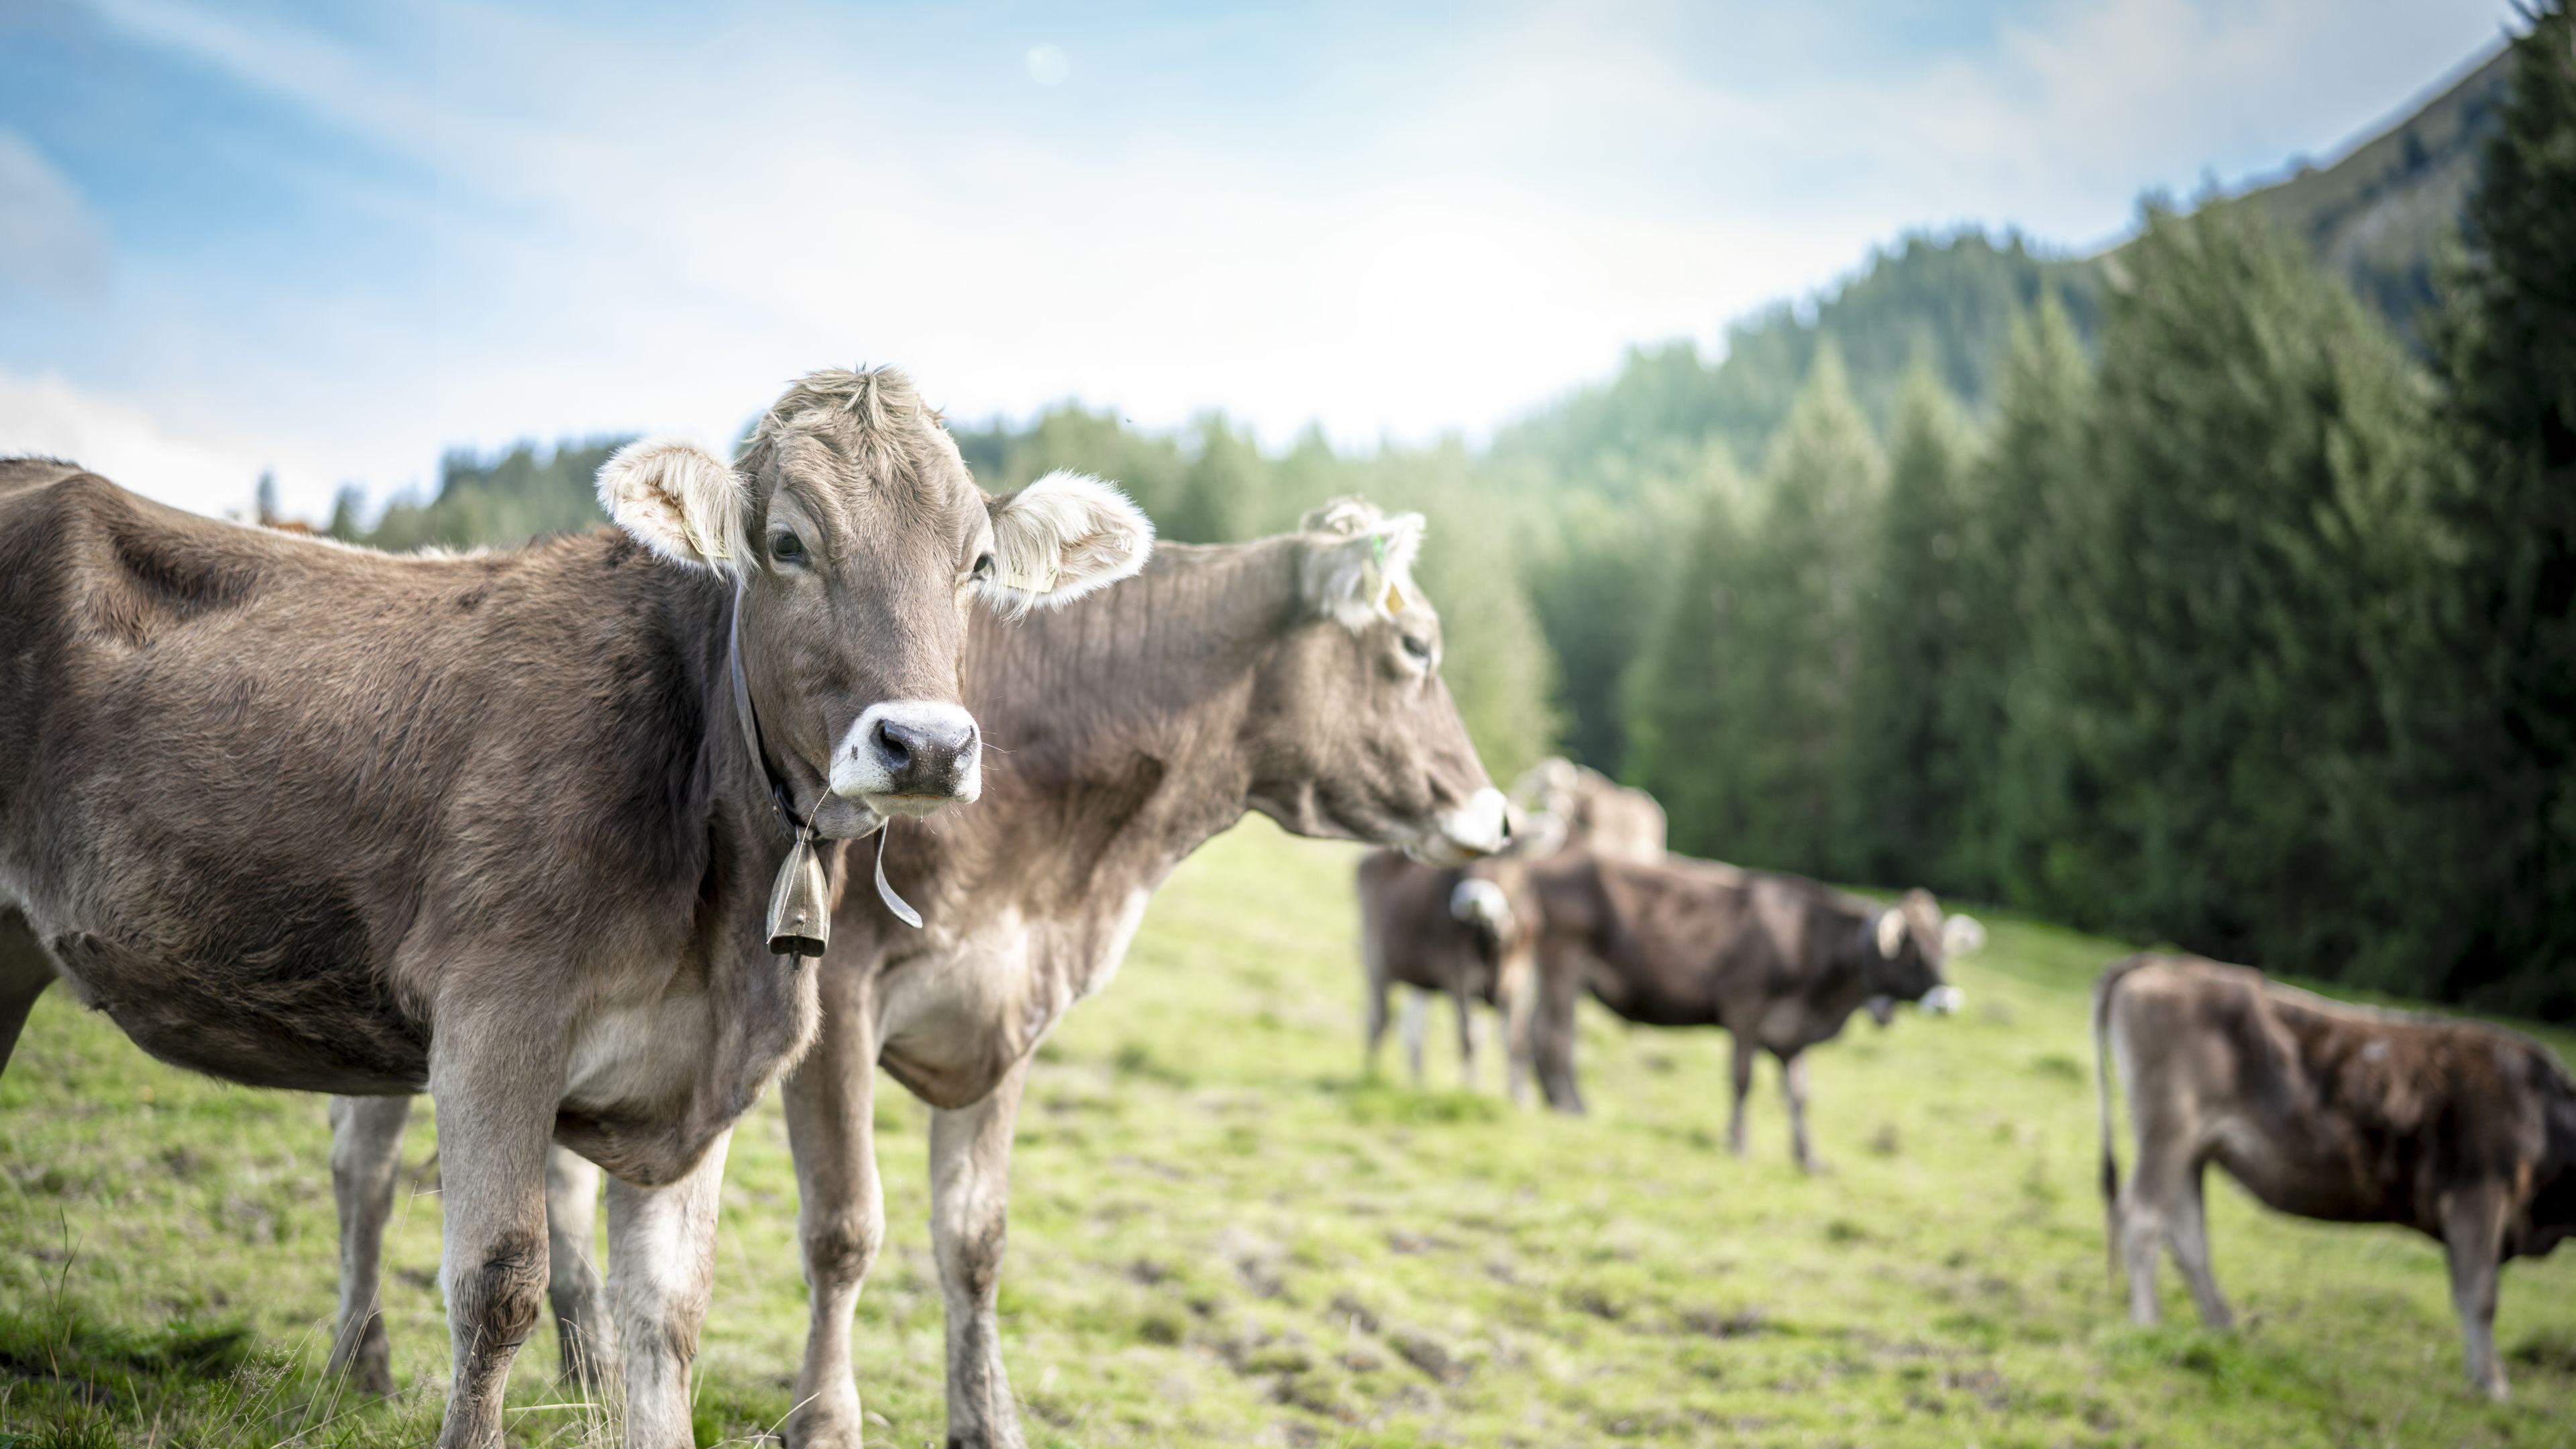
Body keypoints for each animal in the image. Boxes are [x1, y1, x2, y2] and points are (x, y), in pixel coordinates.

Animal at [0, 366, 1152, 1449]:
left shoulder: (696, 1075)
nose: (926, 746)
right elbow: (498, 1283)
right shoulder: (492, 1026)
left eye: (978, 565)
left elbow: (669, 1315)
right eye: (788, 544)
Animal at [323, 496, 1509, 1448]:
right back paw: (358, 1363)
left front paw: (989, 1419)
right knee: (366, 1166)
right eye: (1416, 647)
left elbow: (974, 1238)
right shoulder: (836, 1001)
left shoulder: (1005, 1006)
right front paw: (825, 1421)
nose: (1500, 818)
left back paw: (592, 1369)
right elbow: (846, 1229)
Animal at [1518, 850, 1973, 1162]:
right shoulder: (1745, 1012)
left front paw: (1808, 1158)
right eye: (1912, 949)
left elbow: (1799, 1095)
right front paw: (1738, 1143)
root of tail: (1547, 863)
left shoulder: (1791, 1035)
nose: (1947, 999)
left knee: (1541, 1031)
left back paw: (1555, 1100)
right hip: (1564, 963)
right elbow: (1743, 1081)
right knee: (1555, 1034)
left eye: (1942, 945)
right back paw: (1571, 1106)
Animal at [2093, 953, 2576, 1399]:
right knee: (2143, 1220)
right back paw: (2148, 1323)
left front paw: (2483, 1377)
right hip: (2169, 1132)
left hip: (2192, 1148)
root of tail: (2166, 961)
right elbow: (2480, 1296)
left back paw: (2221, 1325)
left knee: (2188, 1237)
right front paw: (2493, 1384)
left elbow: (2468, 1292)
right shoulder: (2479, 1192)